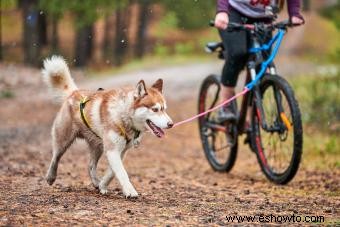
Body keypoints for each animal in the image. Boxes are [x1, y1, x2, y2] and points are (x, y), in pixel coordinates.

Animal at [42, 55, 173, 198]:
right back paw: (50, 177)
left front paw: (102, 185)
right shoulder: (112, 150)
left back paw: (96, 182)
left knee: (90, 165)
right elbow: (121, 172)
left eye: (165, 109)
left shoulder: (120, 151)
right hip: (63, 140)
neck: (123, 115)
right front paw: (130, 191)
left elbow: (111, 173)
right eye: (155, 109)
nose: (171, 124)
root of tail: (74, 92)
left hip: (98, 146)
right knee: (55, 157)